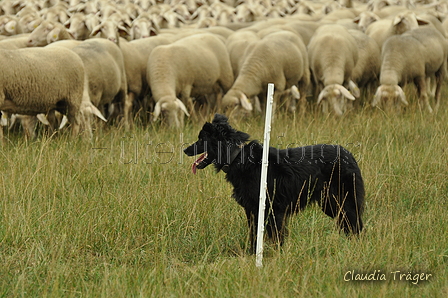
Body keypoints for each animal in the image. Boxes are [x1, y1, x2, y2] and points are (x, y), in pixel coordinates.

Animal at [185, 113, 364, 253]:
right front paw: (252, 254)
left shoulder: (273, 209)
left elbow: (275, 236)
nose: (184, 150)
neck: (238, 156)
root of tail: (349, 155)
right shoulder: (252, 210)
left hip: (342, 201)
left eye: (201, 139)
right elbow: (255, 235)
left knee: (356, 225)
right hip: (330, 204)